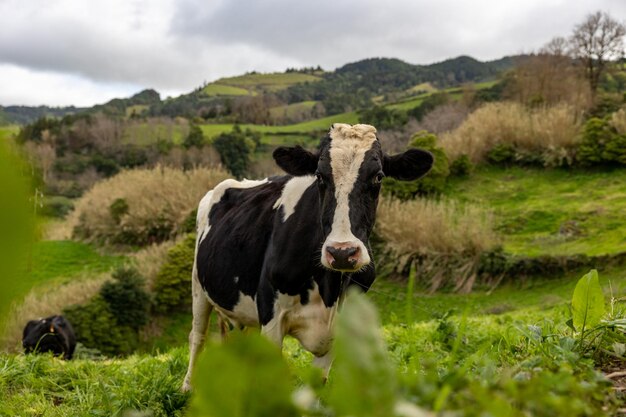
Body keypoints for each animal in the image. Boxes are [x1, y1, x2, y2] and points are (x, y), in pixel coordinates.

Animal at [180, 122, 428, 390]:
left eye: (378, 176)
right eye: (319, 176)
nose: (342, 252)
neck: (329, 288)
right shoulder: (270, 313)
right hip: (198, 286)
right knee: (197, 335)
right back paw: (188, 386)